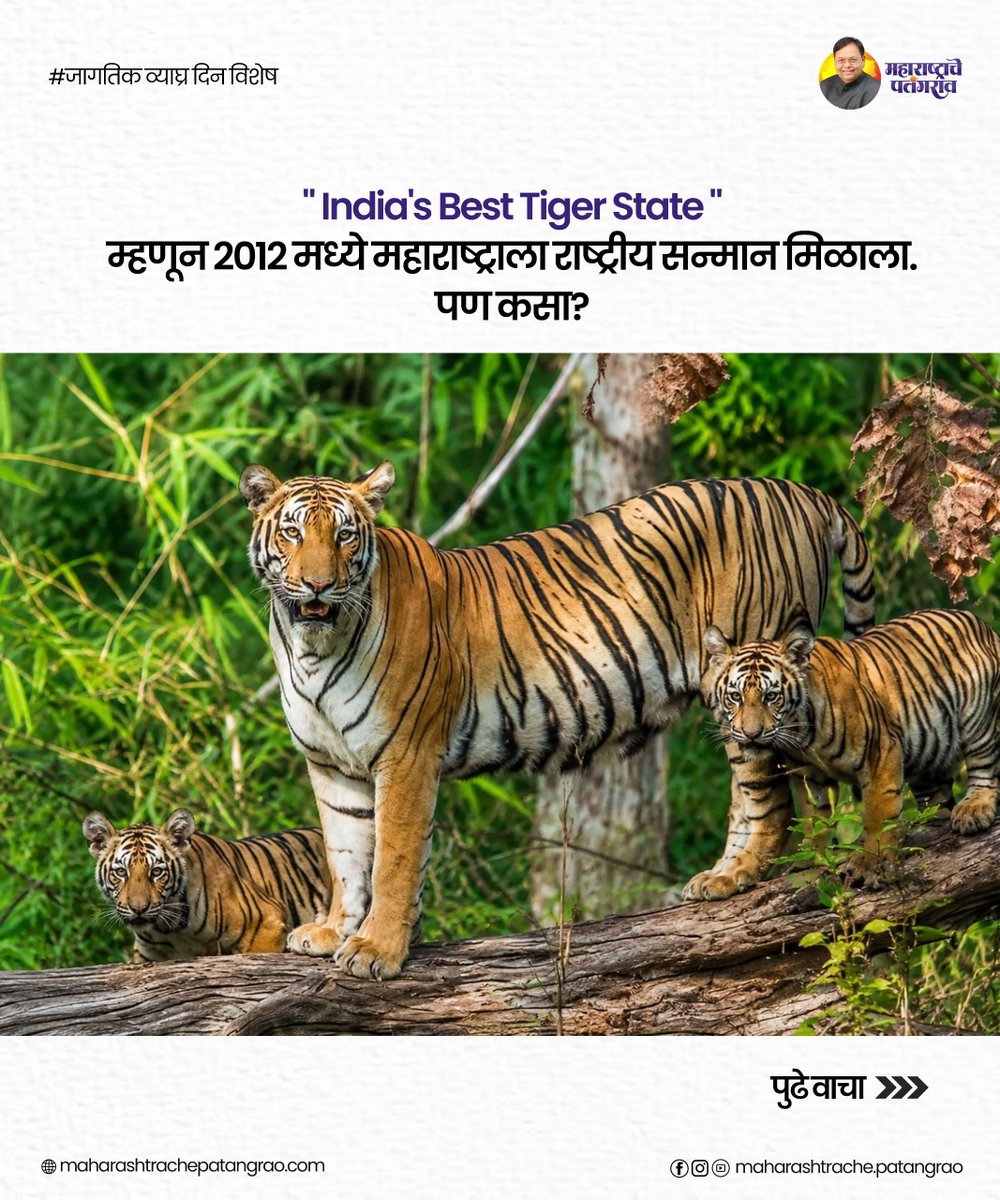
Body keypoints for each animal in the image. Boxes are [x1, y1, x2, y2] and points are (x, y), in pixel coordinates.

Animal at [82, 809, 332, 963]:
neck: (171, 929)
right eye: (120, 872)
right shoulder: (149, 956)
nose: (138, 909)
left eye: (156, 872)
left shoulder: (267, 924)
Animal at [238, 462, 874, 979]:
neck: (313, 648)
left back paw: (744, 876)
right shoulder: (331, 764)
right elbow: (345, 854)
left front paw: (377, 951)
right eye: (293, 532)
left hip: (754, 690)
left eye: (345, 535)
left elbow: (392, 860)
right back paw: (715, 880)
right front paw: (334, 932)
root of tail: (804, 491)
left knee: (780, 796)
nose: (319, 584)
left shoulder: (407, 755)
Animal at [703, 609, 1000, 885]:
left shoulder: (880, 752)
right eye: (735, 696)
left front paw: (870, 864)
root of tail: (980, 623)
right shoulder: (807, 773)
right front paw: (810, 858)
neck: (802, 730)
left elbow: (878, 814)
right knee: (936, 800)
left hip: (977, 716)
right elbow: (813, 817)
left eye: (771, 696)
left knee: (985, 766)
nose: (751, 735)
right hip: (927, 757)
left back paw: (974, 809)